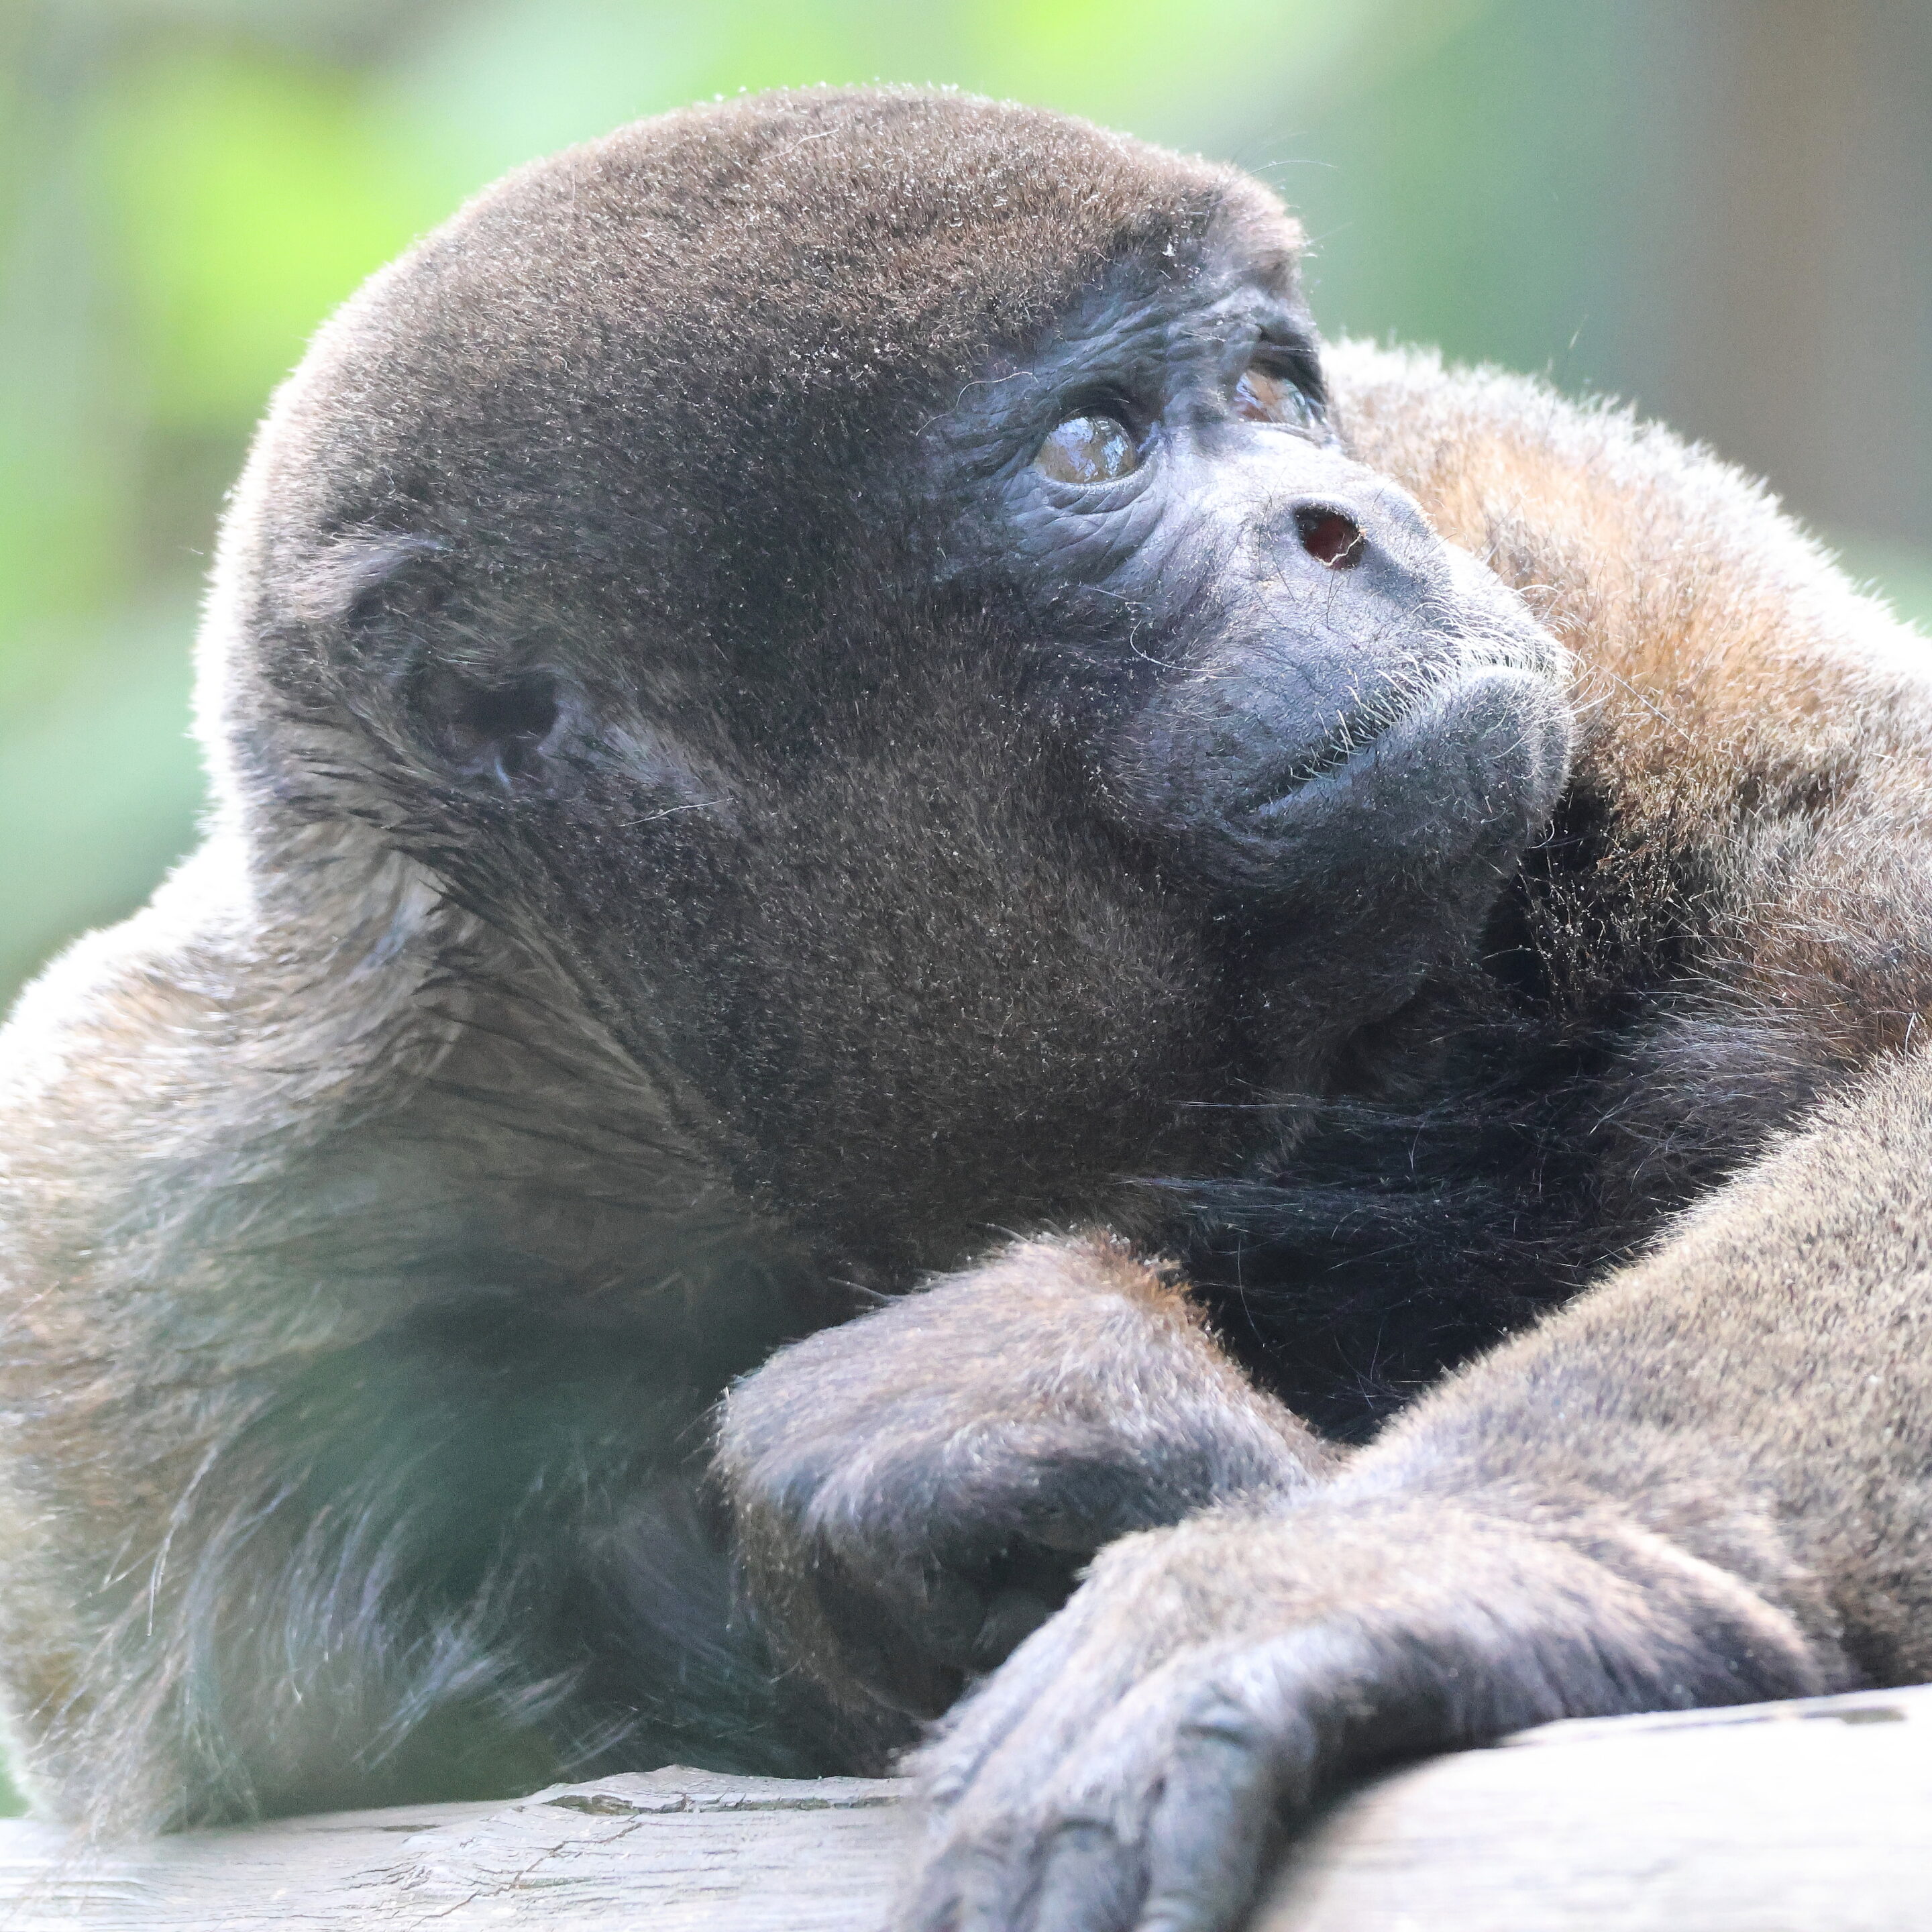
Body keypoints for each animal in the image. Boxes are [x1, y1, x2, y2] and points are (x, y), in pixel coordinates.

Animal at [0, 90, 1927, 1932]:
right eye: (1092, 450)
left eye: (1270, 390)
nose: (1356, 523)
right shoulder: (145, 1260)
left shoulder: (1608, 584)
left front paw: (1436, 1557)